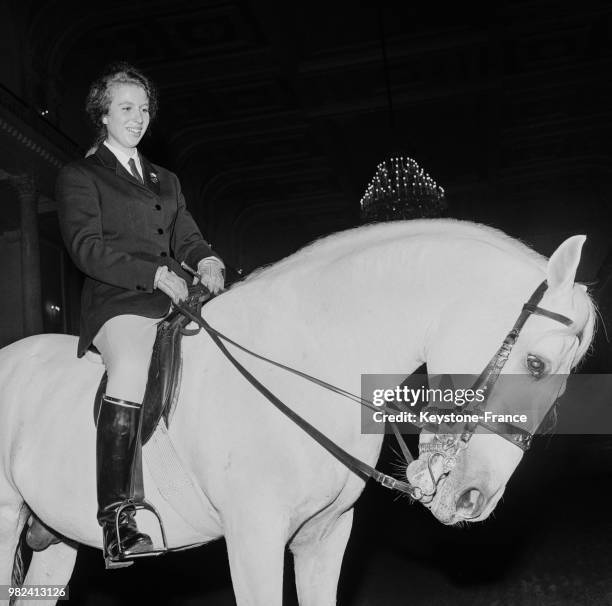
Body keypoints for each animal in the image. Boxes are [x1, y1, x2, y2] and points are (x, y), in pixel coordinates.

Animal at [0, 222, 592, 606]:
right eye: (535, 364)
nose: (474, 498)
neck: (305, 356)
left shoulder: (324, 537)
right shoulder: (253, 537)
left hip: (57, 536)